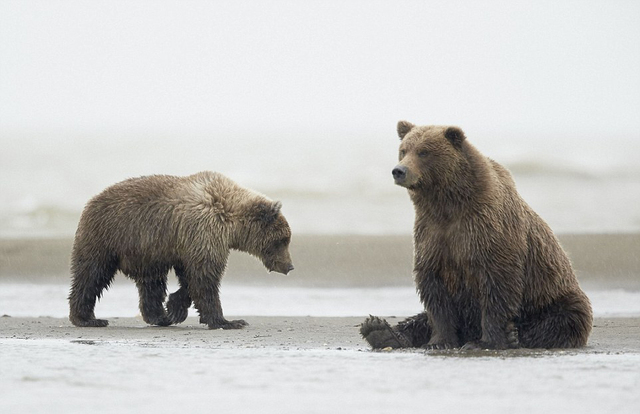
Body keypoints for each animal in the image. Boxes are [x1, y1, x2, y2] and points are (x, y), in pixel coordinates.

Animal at [69, 171, 294, 330]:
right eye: (283, 240)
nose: (290, 266)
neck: (230, 222)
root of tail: (92, 200)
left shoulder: (189, 243)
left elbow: (191, 277)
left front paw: (175, 307)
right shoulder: (204, 232)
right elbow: (204, 277)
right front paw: (229, 321)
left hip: (147, 250)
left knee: (152, 283)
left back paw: (160, 316)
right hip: (108, 237)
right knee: (92, 275)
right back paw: (87, 318)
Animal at [360, 122, 596, 350]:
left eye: (424, 152)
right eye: (403, 150)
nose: (399, 171)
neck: (447, 205)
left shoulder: (487, 231)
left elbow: (497, 285)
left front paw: (486, 342)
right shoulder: (432, 235)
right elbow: (434, 293)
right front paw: (439, 341)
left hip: (555, 297)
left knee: (561, 320)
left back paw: (513, 336)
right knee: (419, 319)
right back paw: (380, 331)